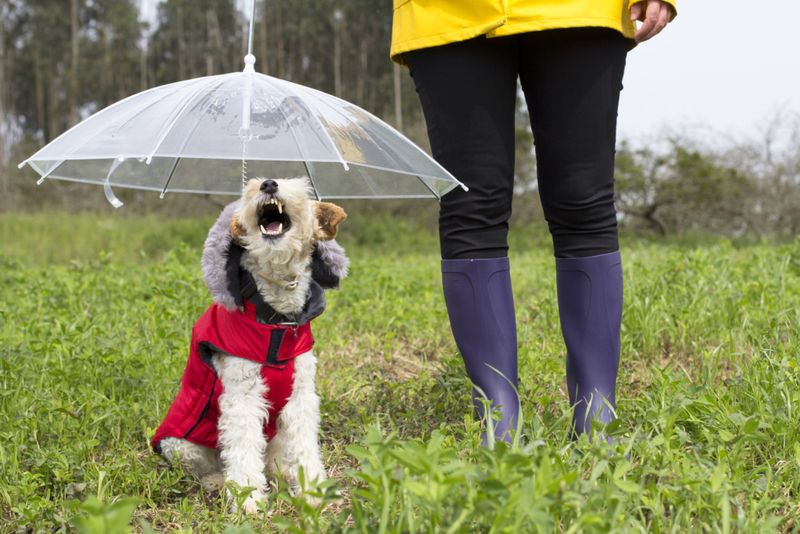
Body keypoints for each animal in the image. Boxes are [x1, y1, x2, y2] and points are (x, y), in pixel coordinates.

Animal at [153, 179, 346, 516]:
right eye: (251, 186)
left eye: (297, 185)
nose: (268, 184)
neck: (277, 322)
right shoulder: (241, 397)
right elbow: (243, 452)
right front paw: (249, 502)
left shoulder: (301, 397)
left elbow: (305, 447)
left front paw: (313, 494)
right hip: (181, 445)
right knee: (214, 465)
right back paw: (217, 483)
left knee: (274, 460)